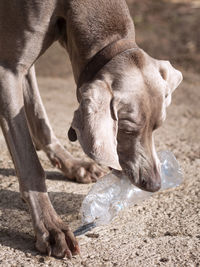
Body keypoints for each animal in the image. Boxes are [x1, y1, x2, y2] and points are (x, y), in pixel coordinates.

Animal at [0, 0, 181, 260]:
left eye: (157, 127)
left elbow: (39, 116)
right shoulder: (8, 69)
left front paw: (72, 163)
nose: (155, 185)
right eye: (126, 130)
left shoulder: (24, 68)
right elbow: (29, 163)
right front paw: (50, 227)